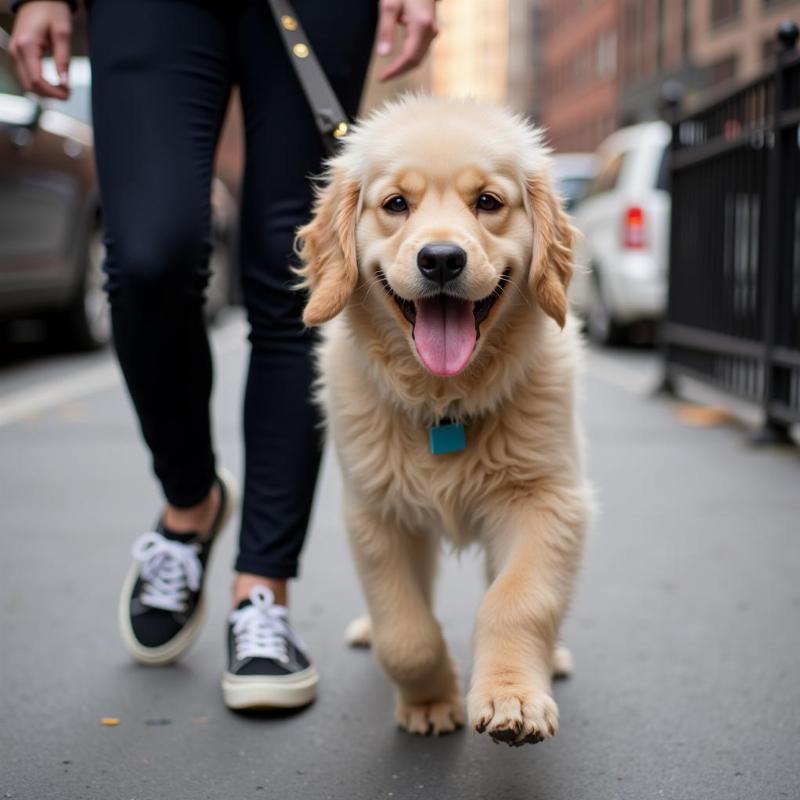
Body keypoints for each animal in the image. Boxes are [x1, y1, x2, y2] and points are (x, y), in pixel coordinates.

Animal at [294, 97, 588, 748]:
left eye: (489, 201)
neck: (444, 401)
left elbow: (519, 599)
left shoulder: (546, 499)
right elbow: (405, 632)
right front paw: (431, 700)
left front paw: (512, 698)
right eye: (395, 204)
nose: (442, 259)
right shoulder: (376, 512)